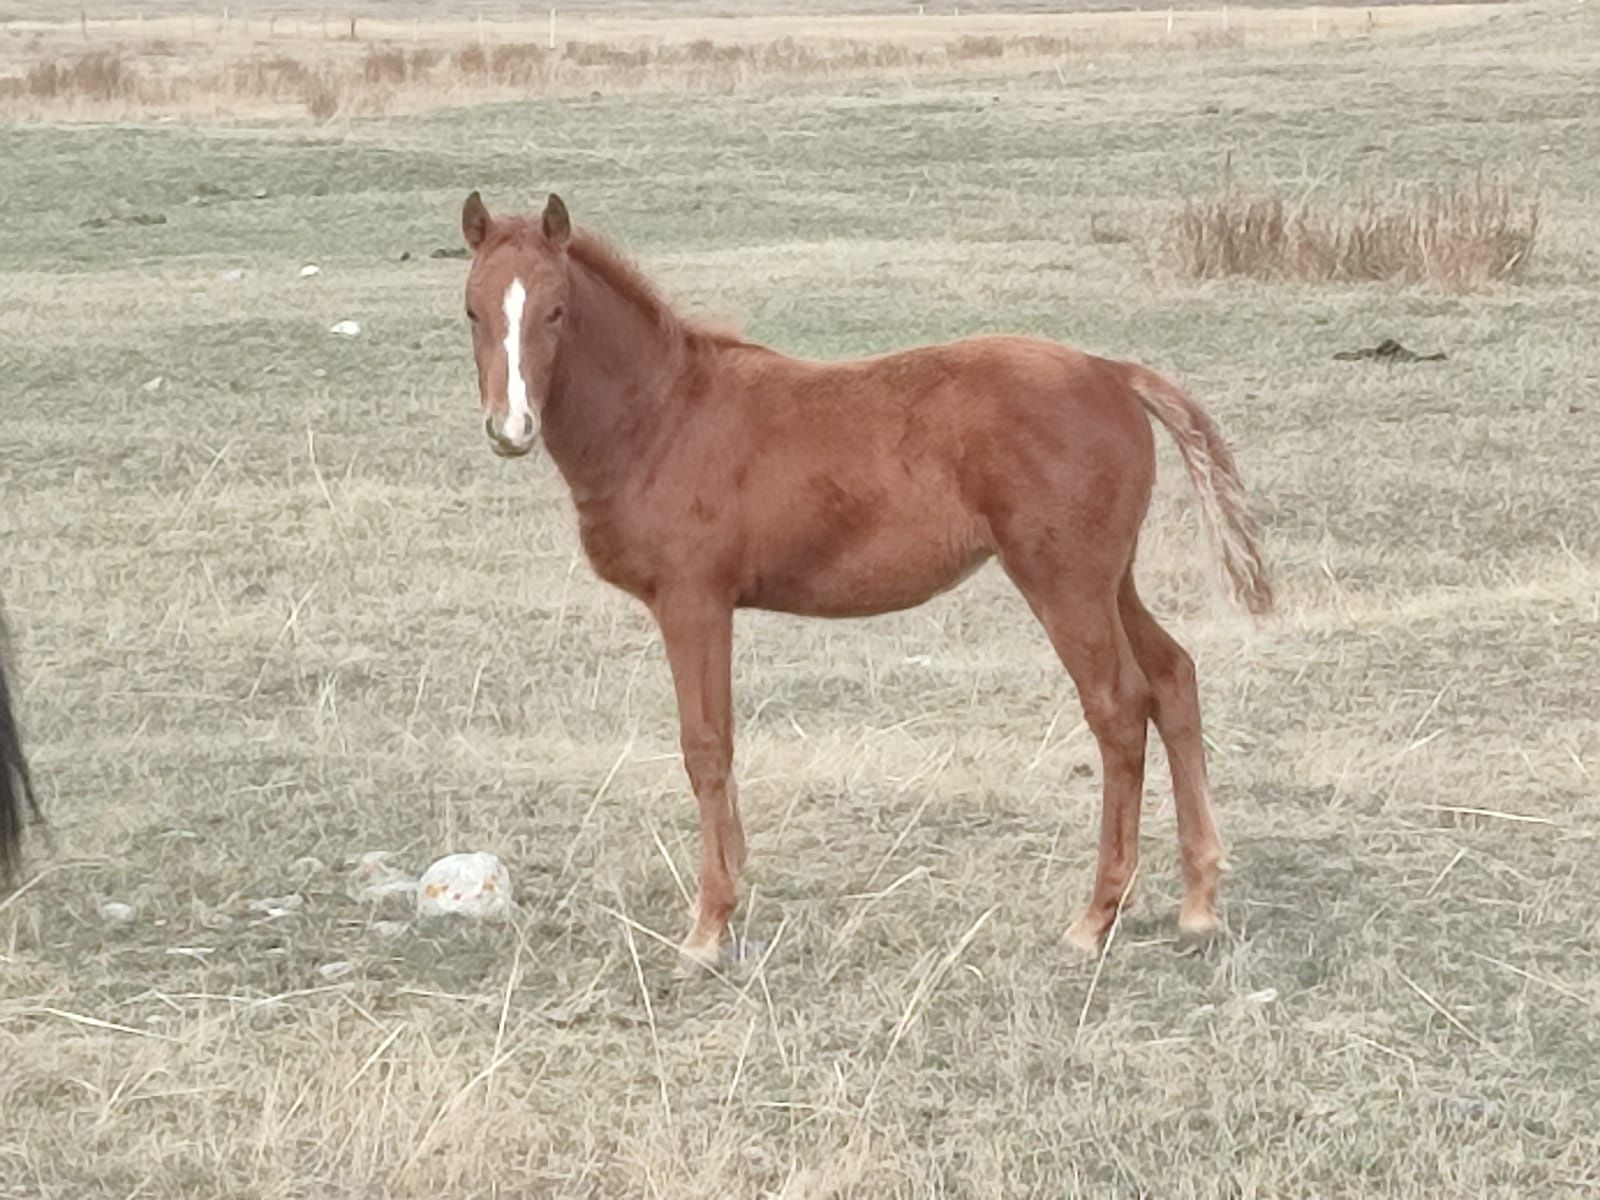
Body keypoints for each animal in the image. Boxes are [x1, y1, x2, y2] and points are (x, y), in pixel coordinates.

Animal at [457, 195, 1267, 966]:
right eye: (472, 308)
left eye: (556, 310)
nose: (510, 429)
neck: (663, 417)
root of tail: (1111, 372)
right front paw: (734, 889)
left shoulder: (693, 601)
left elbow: (706, 746)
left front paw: (709, 926)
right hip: (1110, 579)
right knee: (1173, 677)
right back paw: (1199, 902)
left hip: (1063, 582)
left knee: (1119, 709)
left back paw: (1094, 918)